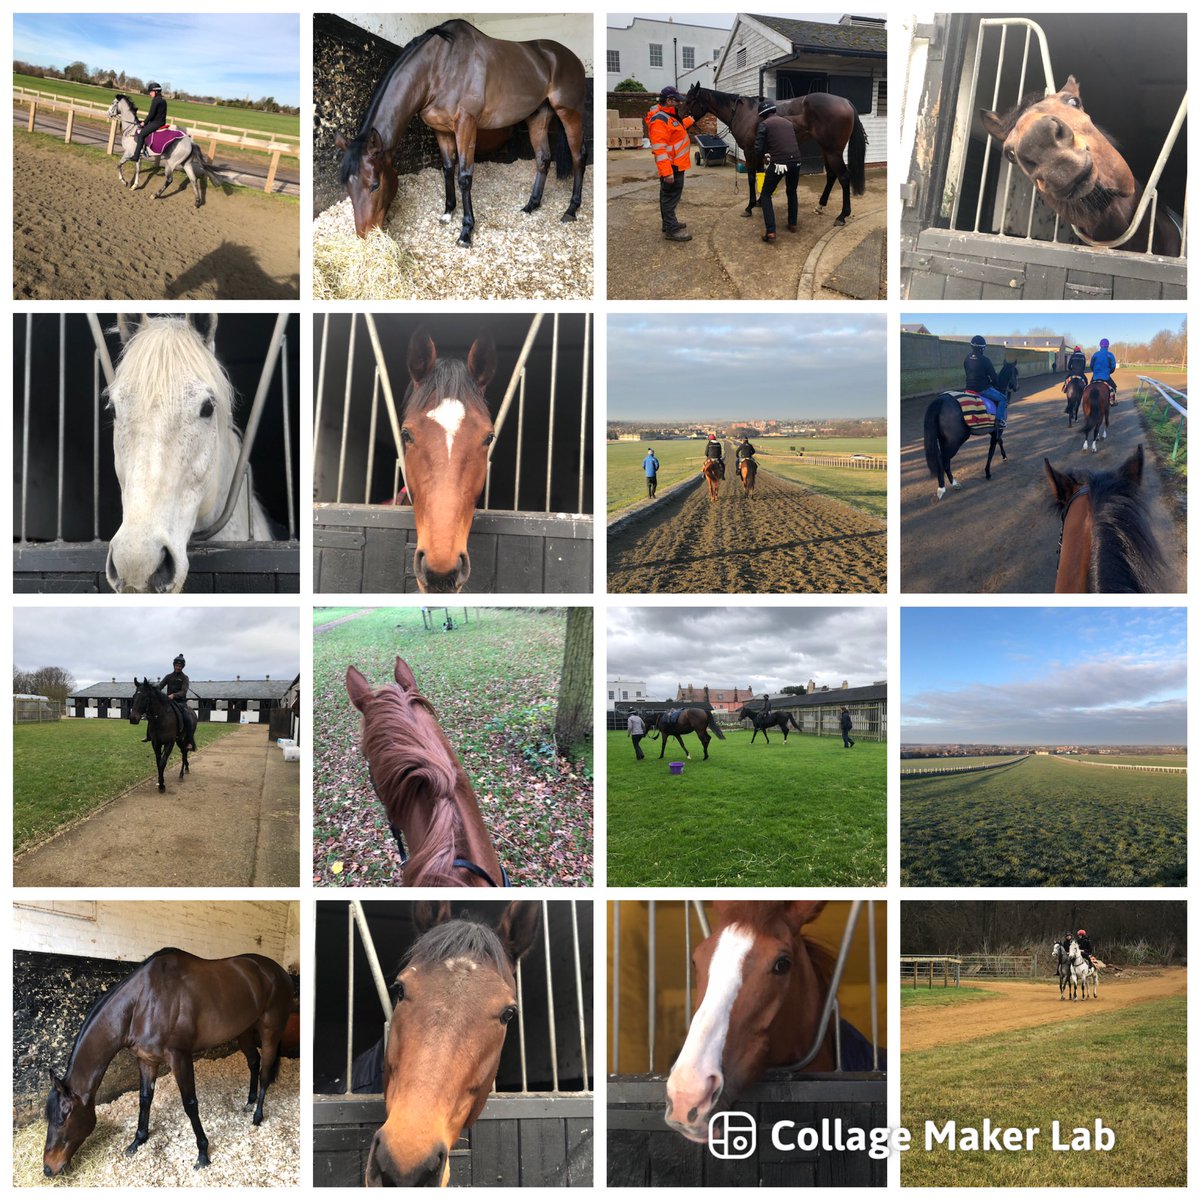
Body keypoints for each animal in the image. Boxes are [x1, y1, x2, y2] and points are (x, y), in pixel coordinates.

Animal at [42, 947, 292, 1176]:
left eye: (63, 1120)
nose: (48, 1168)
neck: (143, 1003)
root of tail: (279, 971)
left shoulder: (179, 1057)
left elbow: (190, 1104)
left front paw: (203, 1154)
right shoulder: (146, 1060)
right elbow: (145, 1099)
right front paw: (138, 1141)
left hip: (270, 1031)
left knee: (265, 1072)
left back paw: (257, 1116)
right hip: (245, 1031)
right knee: (254, 1062)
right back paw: (249, 1101)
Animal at [335, 19, 587, 247]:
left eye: (375, 185)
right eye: (348, 187)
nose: (365, 236)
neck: (438, 67)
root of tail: (570, 58)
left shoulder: (466, 124)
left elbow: (464, 176)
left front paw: (466, 231)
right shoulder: (441, 130)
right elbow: (448, 169)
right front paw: (448, 212)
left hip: (568, 112)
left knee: (578, 156)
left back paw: (571, 209)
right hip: (538, 116)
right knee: (543, 158)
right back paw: (531, 205)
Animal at [684, 84, 866, 224]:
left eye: (689, 100)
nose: (682, 120)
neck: (742, 112)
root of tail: (846, 102)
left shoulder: (749, 151)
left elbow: (751, 177)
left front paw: (749, 207)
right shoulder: (758, 152)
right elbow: (760, 174)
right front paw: (758, 202)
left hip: (833, 151)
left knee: (844, 177)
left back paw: (842, 215)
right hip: (826, 150)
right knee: (831, 176)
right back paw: (820, 206)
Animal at [923, 359, 1019, 500]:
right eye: (1016, 373)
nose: (1017, 387)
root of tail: (941, 400)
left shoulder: (994, 431)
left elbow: (1000, 442)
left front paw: (1004, 457)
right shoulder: (997, 430)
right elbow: (991, 450)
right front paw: (988, 472)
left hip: (944, 440)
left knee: (945, 461)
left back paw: (954, 483)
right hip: (955, 441)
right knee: (943, 460)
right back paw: (942, 488)